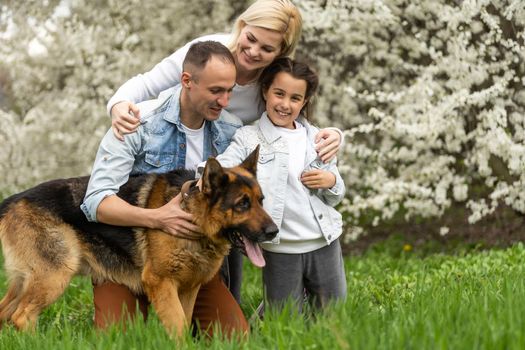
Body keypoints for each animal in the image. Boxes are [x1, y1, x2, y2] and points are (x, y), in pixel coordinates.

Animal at [0, 147, 278, 336]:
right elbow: (178, 327)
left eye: (261, 200)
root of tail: (14, 199)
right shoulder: (160, 282)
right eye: (242, 204)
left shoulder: (188, 289)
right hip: (55, 275)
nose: (274, 231)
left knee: (5, 312)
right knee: (22, 316)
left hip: (27, 280)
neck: (194, 216)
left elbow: (184, 321)